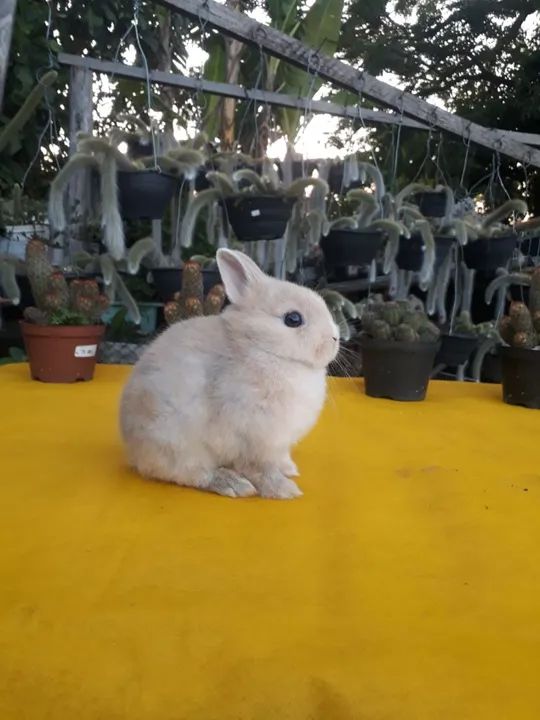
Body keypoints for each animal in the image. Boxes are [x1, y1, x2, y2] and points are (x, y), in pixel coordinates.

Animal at [119, 249, 339, 499]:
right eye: (293, 319)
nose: (335, 338)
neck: (261, 347)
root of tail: (133, 451)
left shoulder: (277, 445)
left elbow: (278, 460)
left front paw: (290, 469)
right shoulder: (254, 439)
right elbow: (260, 469)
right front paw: (284, 490)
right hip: (177, 444)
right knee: (194, 474)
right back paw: (233, 484)